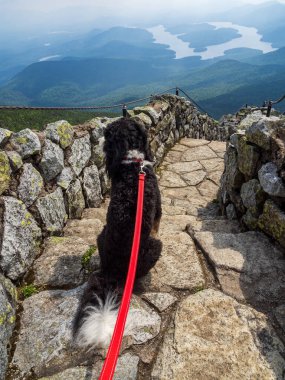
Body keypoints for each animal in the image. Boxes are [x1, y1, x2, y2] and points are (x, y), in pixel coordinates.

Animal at [72, 117, 162, 348]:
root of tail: (112, 272)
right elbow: (158, 225)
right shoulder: (158, 210)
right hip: (154, 248)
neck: (133, 163)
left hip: (101, 235)